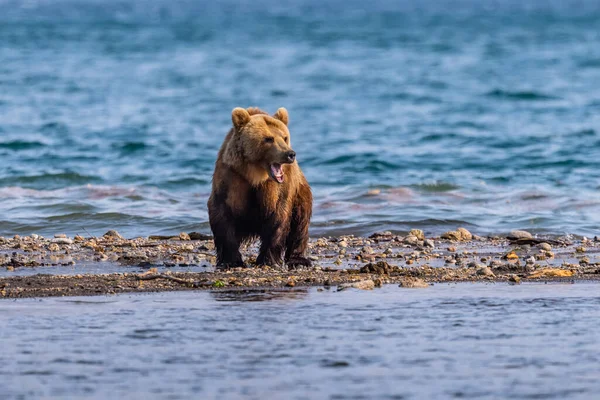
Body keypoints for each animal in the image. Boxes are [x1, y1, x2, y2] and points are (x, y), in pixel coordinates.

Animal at [207, 106, 312, 268]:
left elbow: (278, 216)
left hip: (300, 192)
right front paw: (231, 260)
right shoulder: (231, 178)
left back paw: (299, 259)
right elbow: (222, 214)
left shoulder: (278, 187)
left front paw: (268, 259)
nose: (290, 154)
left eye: (284, 137)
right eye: (268, 138)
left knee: (300, 221)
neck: (255, 174)